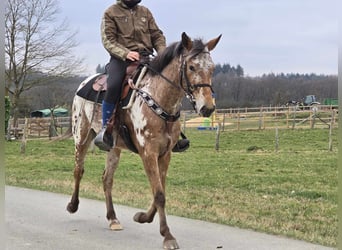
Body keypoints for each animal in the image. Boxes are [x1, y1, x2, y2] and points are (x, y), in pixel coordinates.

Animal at [67, 32, 222, 249]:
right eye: (192, 67)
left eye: (212, 68)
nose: (207, 107)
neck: (158, 99)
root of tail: (84, 83)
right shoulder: (148, 153)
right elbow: (159, 194)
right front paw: (167, 236)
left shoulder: (164, 154)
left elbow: (160, 191)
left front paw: (143, 217)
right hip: (81, 137)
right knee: (78, 170)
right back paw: (73, 205)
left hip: (113, 147)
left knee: (107, 179)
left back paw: (113, 218)